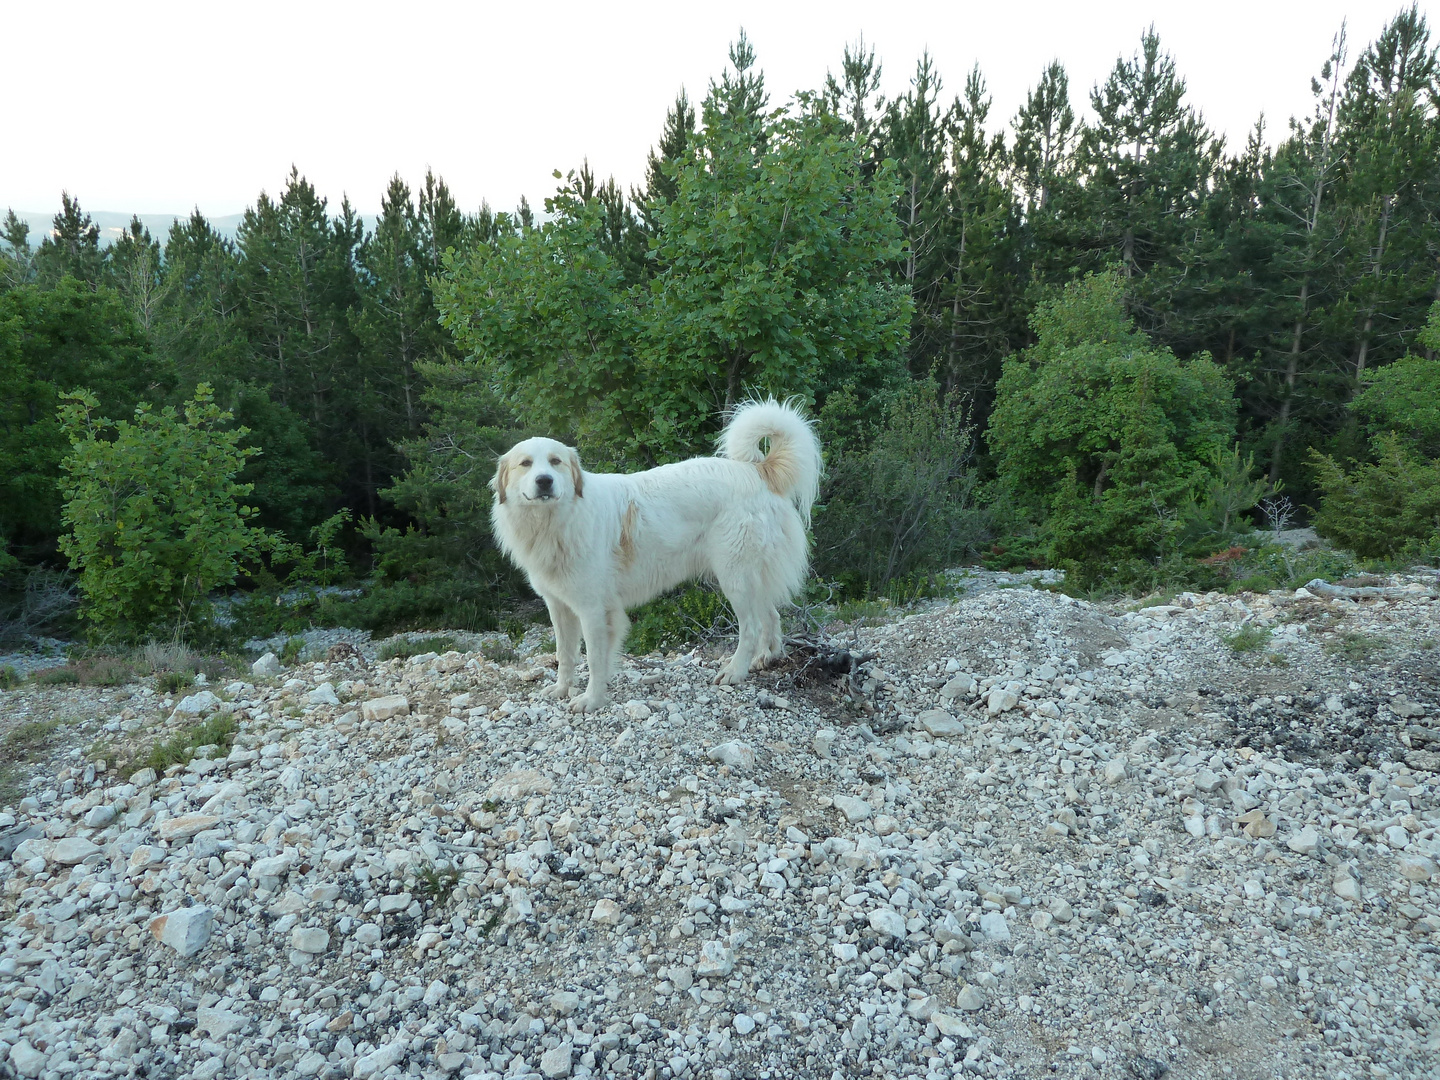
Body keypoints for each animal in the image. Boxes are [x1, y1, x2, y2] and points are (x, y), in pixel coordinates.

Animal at [489, 403, 823, 714]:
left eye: (555, 462)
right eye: (525, 464)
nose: (544, 480)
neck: (555, 521)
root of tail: (757, 470)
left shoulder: (594, 610)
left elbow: (595, 660)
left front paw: (591, 700)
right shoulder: (559, 607)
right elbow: (565, 655)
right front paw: (561, 689)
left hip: (734, 577)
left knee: (751, 626)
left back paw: (735, 670)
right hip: (749, 575)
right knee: (771, 614)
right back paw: (766, 657)